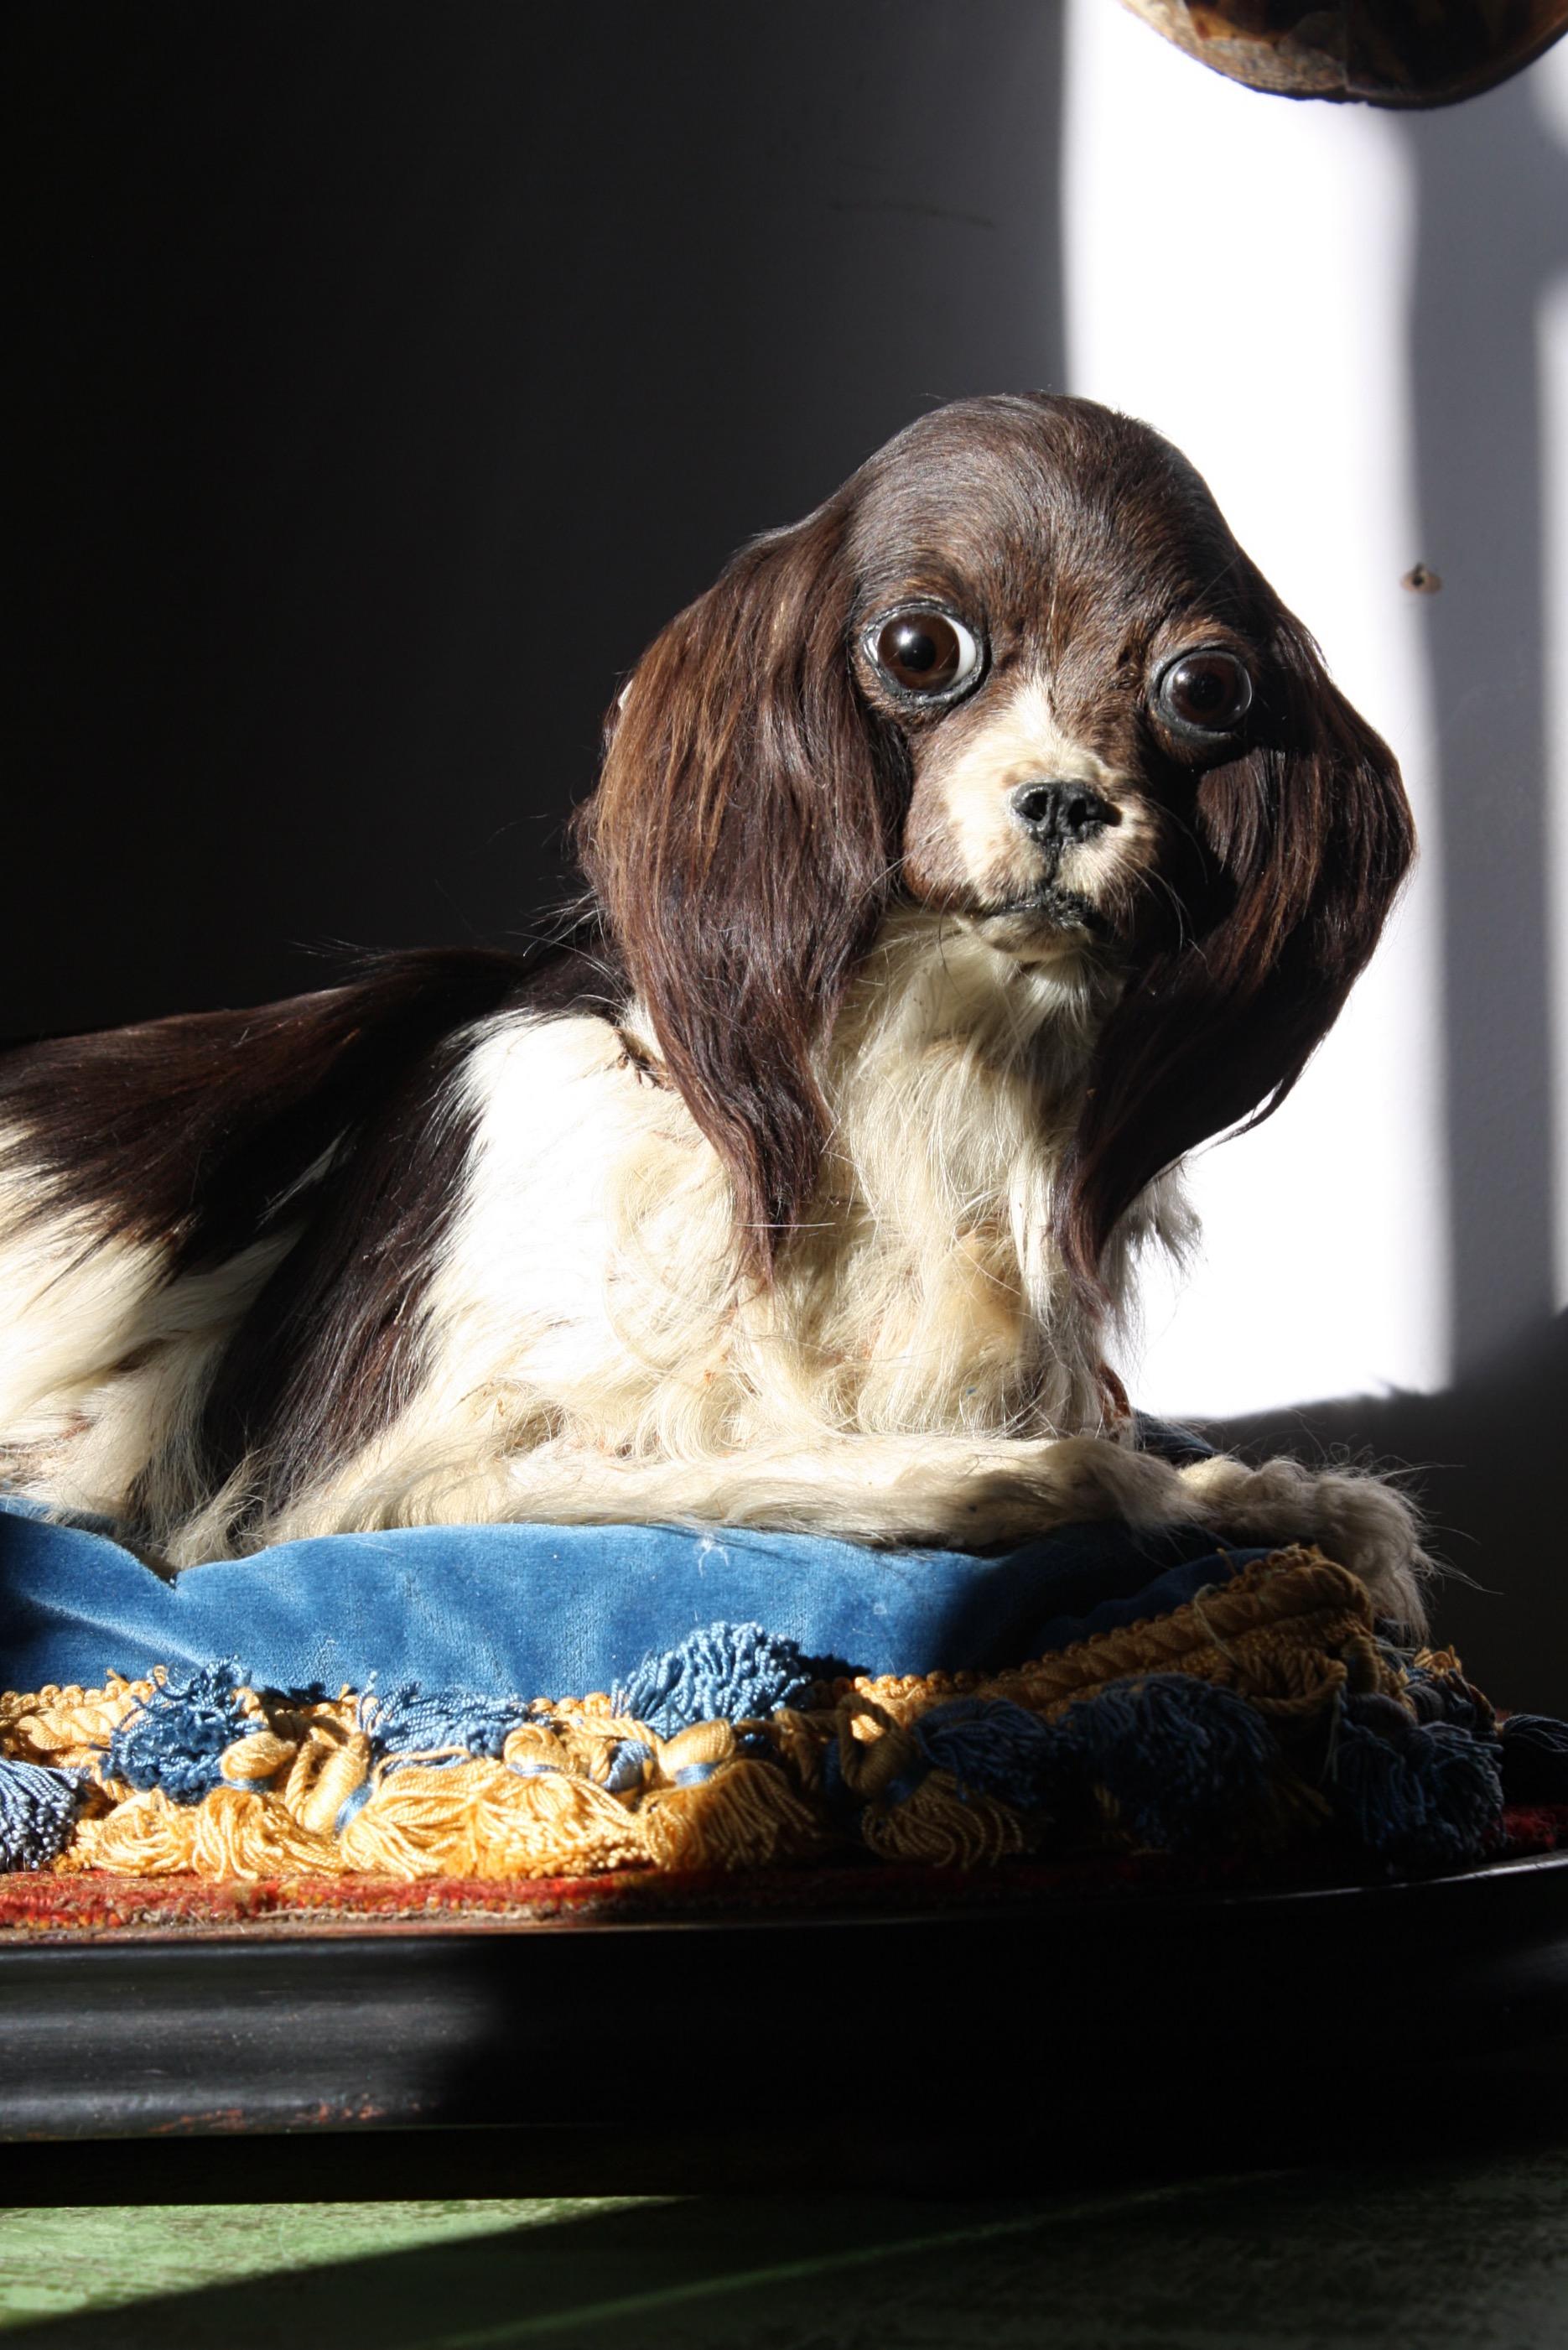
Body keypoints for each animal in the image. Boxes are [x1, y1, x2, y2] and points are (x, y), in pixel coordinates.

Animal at [0, 399, 1429, 1616]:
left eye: (1203, 690)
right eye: (921, 649)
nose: (1068, 798)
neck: (910, 1065)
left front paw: (1282, 1500)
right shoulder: (392, 1481)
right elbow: (954, 1472)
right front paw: (1178, 1490)